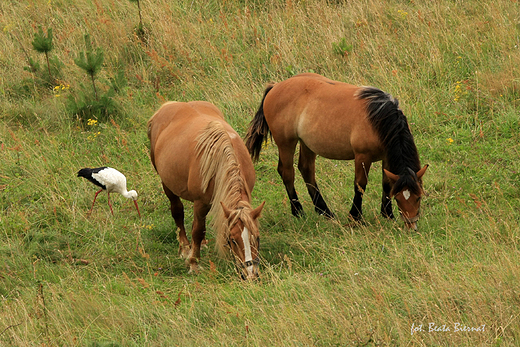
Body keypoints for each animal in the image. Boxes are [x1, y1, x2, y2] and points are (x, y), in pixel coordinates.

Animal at [149, 101, 264, 280]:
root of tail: (169, 105)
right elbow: (197, 230)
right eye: (233, 240)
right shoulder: (200, 203)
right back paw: (185, 248)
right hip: (167, 185)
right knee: (178, 212)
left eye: (257, 238)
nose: (250, 274)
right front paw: (193, 262)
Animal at [246, 74, 428, 228]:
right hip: (286, 143)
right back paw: (298, 211)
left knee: (306, 169)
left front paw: (387, 214)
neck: (378, 119)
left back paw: (324, 211)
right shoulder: (362, 157)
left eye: (418, 196)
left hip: (307, 144)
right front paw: (355, 217)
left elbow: (386, 183)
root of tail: (275, 87)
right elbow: (360, 185)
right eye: (399, 197)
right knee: (287, 173)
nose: (411, 225)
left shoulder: (386, 157)